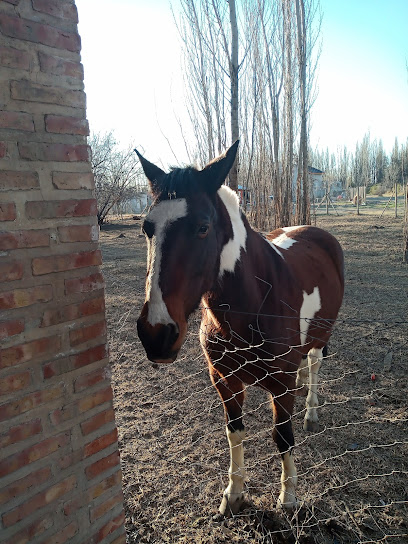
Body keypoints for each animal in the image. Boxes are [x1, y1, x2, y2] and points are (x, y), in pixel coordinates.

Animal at [135, 143, 342, 520]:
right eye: (147, 228)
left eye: (203, 227)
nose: (156, 333)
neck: (254, 303)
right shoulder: (224, 380)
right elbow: (235, 434)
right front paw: (233, 495)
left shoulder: (280, 384)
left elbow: (283, 438)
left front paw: (288, 498)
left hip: (321, 336)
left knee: (315, 364)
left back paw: (311, 411)